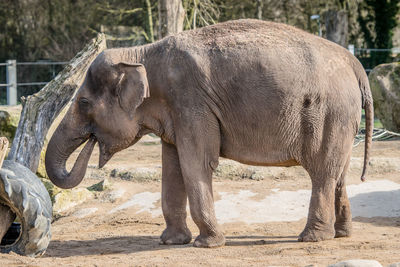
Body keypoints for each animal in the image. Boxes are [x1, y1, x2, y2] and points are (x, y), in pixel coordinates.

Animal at [45, 19, 374, 249]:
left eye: (83, 103)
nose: (91, 144)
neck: (143, 53)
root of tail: (355, 64)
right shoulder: (176, 112)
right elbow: (172, 167)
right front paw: (171, 241)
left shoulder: (191, 101)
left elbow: (196, 164)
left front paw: (207, 243)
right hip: (342, 119)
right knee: (339, 172)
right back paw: (342, 234)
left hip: (329, 113)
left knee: (322, 172)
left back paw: (312, 238)